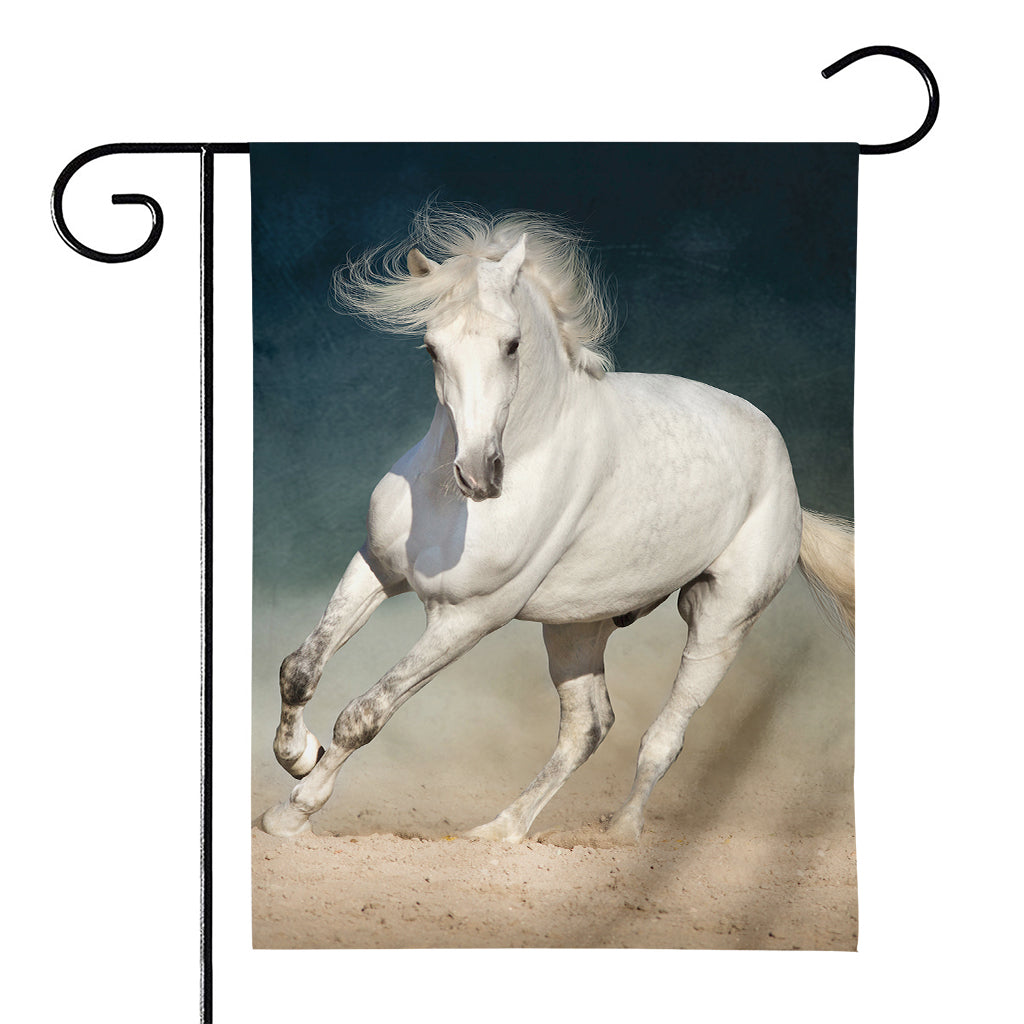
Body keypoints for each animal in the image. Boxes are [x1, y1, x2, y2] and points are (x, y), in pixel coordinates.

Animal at [260, 204, 855, 845]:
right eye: (431, 348)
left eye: (512, 344)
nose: (478, 475)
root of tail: (786, 475)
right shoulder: (375, 568)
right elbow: (300, 668)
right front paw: (299, 756)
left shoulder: (468, 619)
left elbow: (365, 715)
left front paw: (292, 812)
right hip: (576, 627)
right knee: (588, 726)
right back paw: (497, 832)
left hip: (720, 621)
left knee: (664, 736)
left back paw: (619, 835)